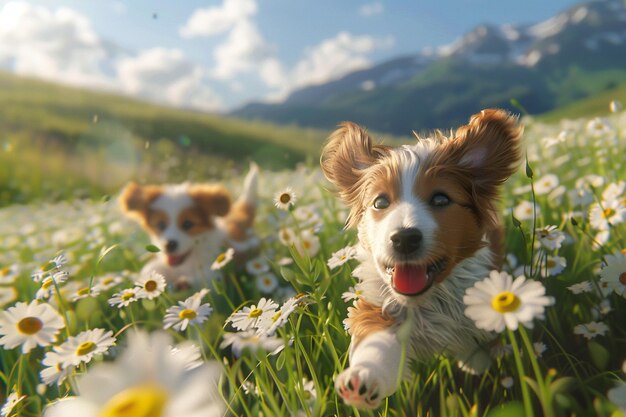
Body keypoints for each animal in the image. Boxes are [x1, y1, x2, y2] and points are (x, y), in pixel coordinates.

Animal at [119, 164, 258, 288]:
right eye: (161, 225)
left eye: (187, 224)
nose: (169, 245)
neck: (185, 265)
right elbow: (152, 268)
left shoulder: (214, 271)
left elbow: (207, 278)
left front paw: (185, 283)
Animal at [320, 109, 520, 408]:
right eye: (380, 202)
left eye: (440, 199)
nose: (404, 238)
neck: (429, 300)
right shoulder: (379, 307)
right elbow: (376, 348)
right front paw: (362, 379)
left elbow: (480, 345)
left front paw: (475, 366)